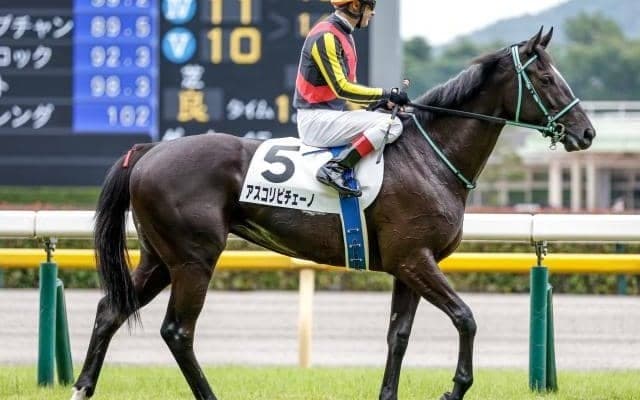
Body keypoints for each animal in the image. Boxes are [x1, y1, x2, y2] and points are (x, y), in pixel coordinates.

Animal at [71, 28, 595, 400]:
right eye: (547, 78)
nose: (586, 132)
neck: (429, 156)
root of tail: (149, 150)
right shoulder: (415, 260)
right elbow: (465, 318)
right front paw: (455, 388)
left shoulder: (408, 266)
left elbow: (398, 336)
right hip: (194, 259)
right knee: (178, 331)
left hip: (159, 258)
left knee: (110, 310)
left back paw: (82, 388)